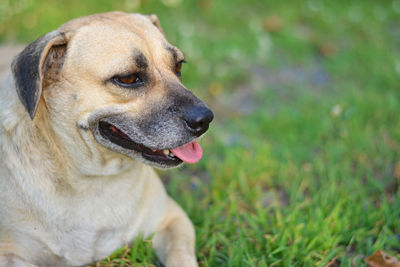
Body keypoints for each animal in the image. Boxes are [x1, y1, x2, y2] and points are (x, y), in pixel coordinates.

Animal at [0, 11, 214, 266]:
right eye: (128, 78)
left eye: (179, 65)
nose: (205, 119)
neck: (96, 179)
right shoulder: (10, 253)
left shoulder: (173, 219)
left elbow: (181, 256)